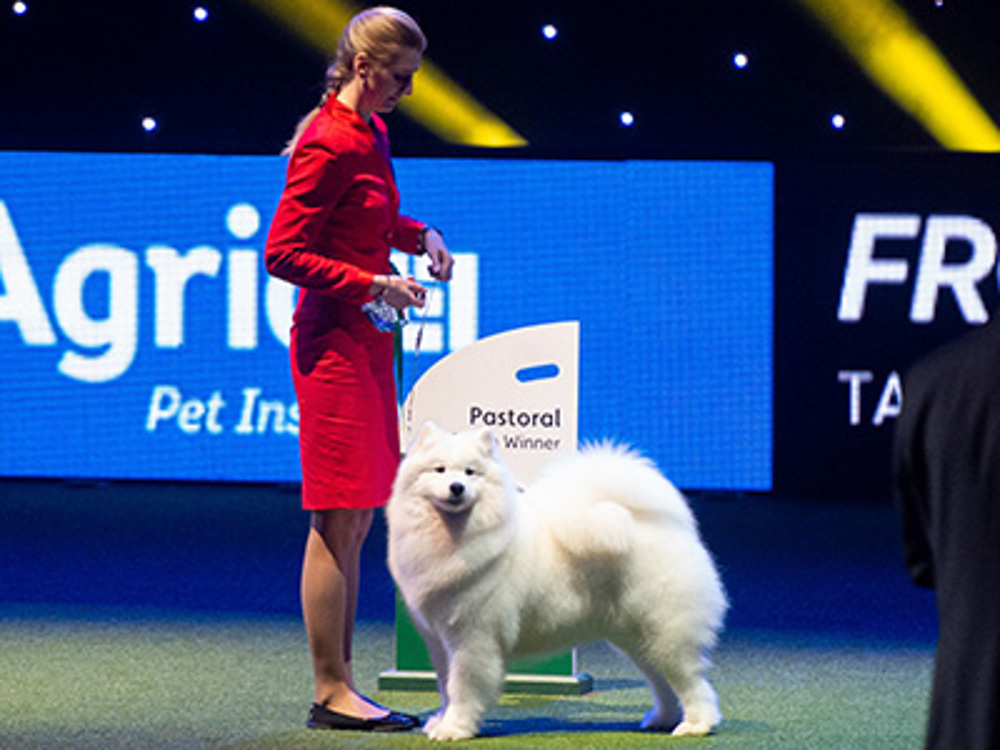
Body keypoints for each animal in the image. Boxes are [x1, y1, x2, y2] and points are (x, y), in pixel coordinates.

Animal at [384, 426, 728, 744]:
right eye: (439, 470)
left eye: (470, 472)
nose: (457, 487)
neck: (453, 536)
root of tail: (667, 527)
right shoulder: (439, 639)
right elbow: (445, 686)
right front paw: (441, 721)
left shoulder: (472, 637)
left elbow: (462, 687)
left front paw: (456, 728)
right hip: (638, 639)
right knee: (663, 683)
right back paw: (661, 719)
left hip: (664, 633)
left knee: (693, 683)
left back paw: (696, 725)